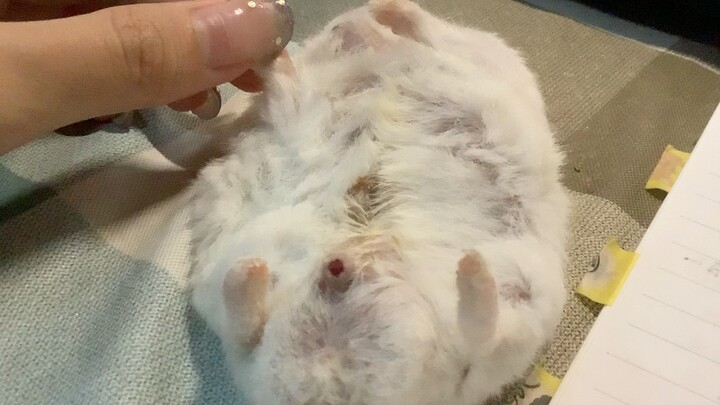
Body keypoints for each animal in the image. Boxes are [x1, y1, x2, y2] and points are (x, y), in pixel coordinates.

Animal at [188, 1, 570, 404]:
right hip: (230, 276)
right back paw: (258, 273)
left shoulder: (475, 52)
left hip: (526, 301)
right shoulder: (296, 100)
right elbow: (286, 84)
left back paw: (469, 267)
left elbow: (426, 30)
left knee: (483, 334)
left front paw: (380, 12)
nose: (346, 21)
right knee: (246, 328)